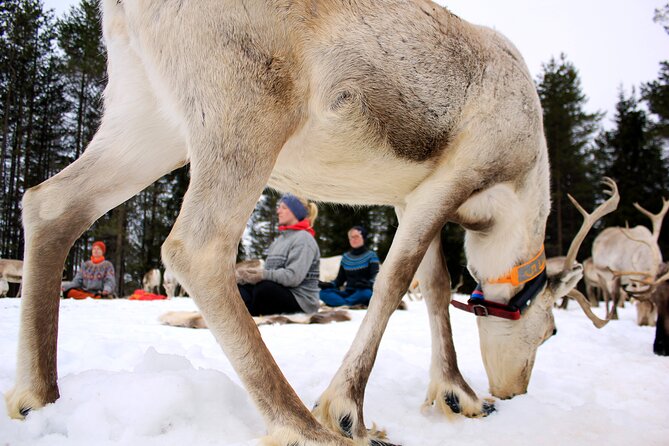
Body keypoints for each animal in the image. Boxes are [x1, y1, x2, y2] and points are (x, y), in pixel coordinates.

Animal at [5, 1, 617, 444]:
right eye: (551, 330)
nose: (513, 392)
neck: (510, 196)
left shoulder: (409, 192)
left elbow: (437, 286)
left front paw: (457, 394)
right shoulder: (454, 174)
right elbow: (396, 279)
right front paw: (347, 409)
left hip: (147, 120)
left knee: (51, 204)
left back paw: (38, 397)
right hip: (245, 109)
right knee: (196, 247)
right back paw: (301, 425)